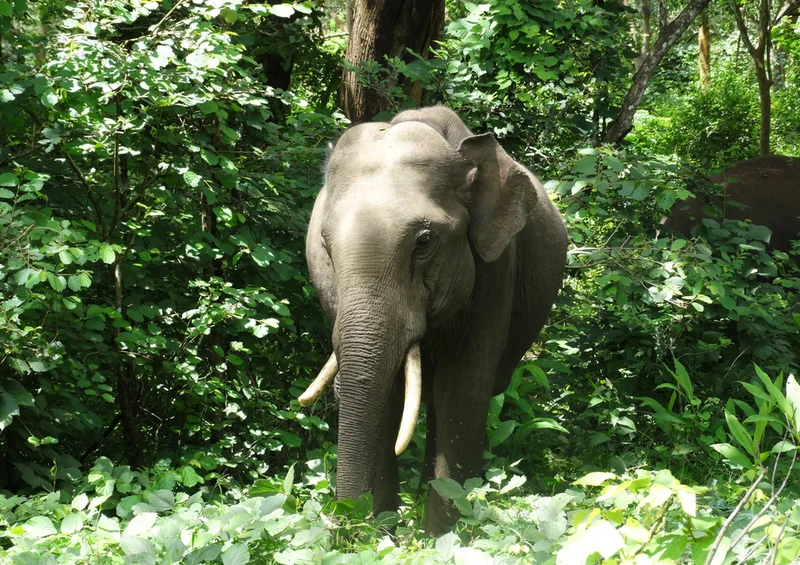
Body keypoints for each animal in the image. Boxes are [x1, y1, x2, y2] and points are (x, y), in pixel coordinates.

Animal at [298, 106, 568, 535]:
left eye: (424, 241)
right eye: (324, 245)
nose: (344, 524)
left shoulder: (497, 270)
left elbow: (462, 389)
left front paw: (442, 537)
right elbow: (388, 393)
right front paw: (383, 532)